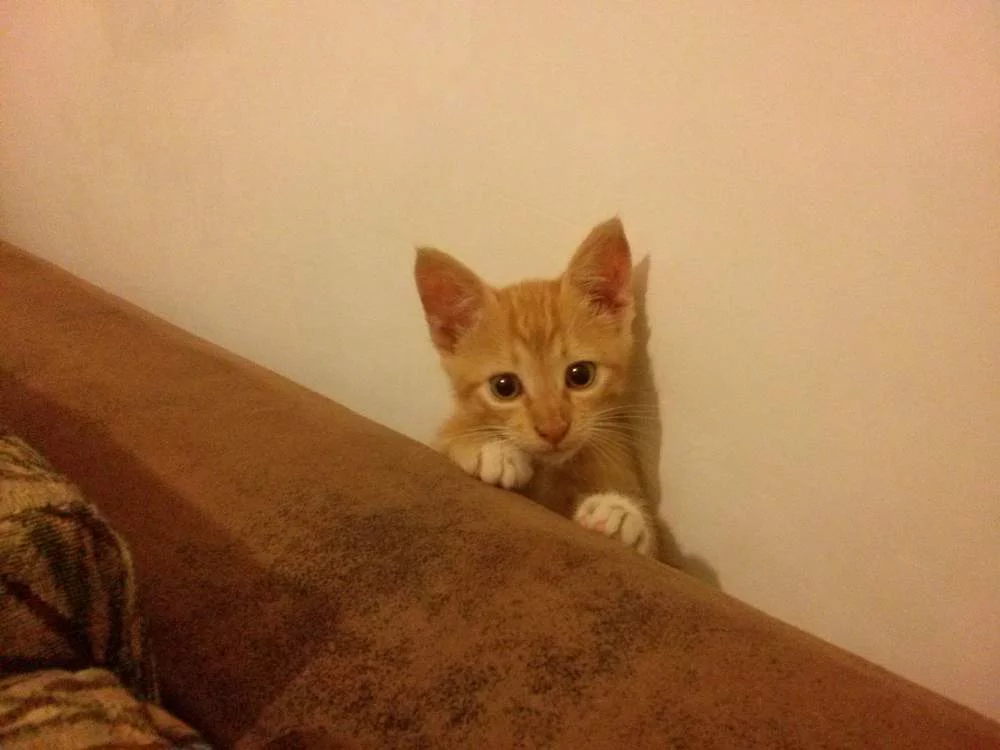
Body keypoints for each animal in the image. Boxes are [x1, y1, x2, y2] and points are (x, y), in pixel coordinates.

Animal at [414, 217, 657, 557]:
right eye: (504, 387)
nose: (553, 429)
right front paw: (492, 449)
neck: (550, 471)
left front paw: (620, 512)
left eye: (581, 375)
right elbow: (449, 435)